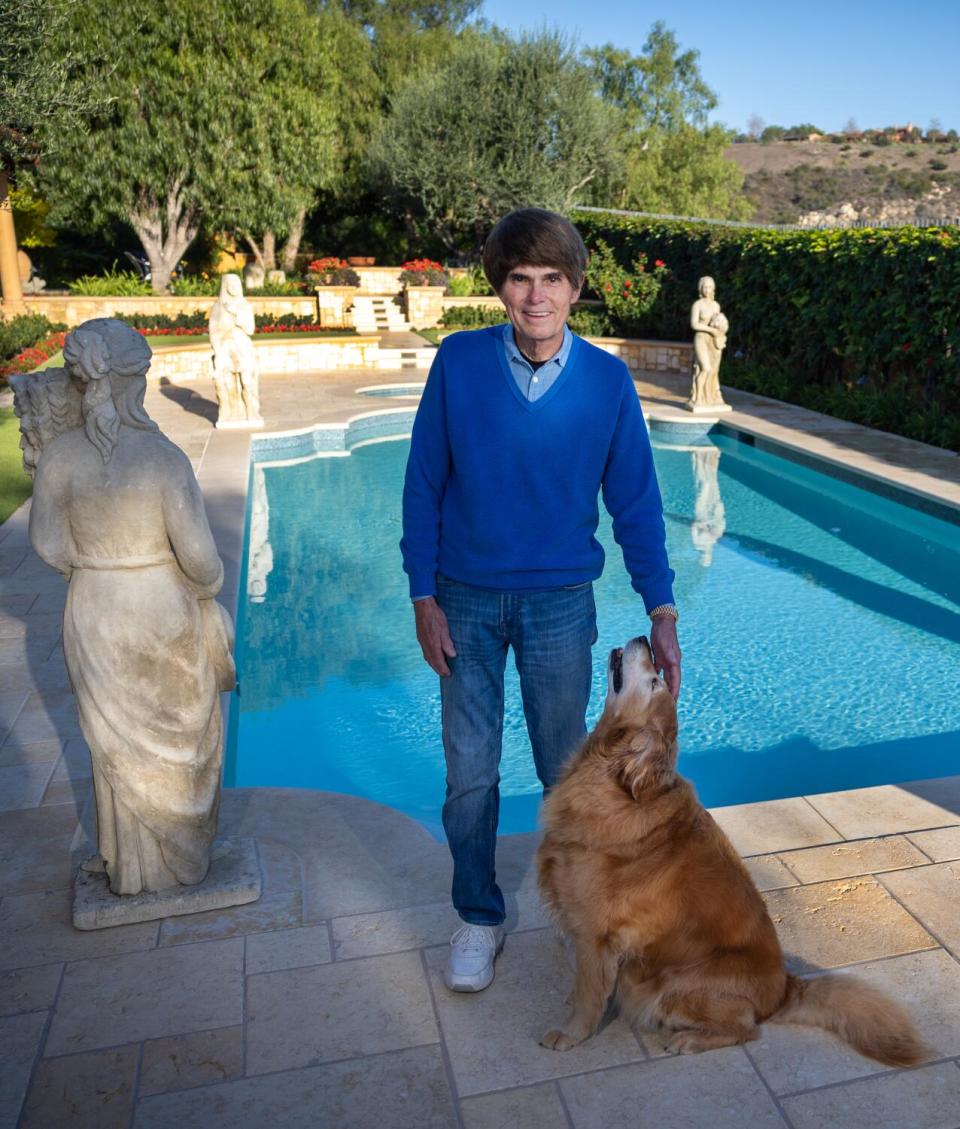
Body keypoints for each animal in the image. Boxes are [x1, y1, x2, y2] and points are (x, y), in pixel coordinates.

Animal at [535, 641, 926, 1061]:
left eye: (656, 681)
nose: (644, 636)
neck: (611, 780)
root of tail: (784, 989)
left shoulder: (596, 934)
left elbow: (589, 992)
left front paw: (571, 1033)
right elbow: (585, 985)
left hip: (668, 985)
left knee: (745, 1029)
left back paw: (689, 1040)